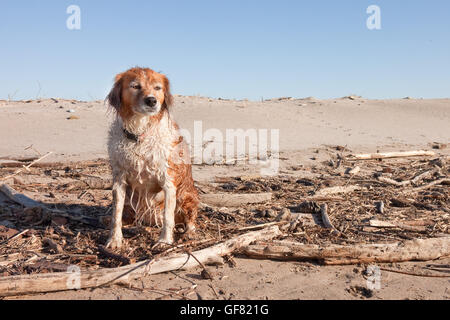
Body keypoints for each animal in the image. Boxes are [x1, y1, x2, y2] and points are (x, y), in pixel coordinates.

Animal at [105, 67, 199, 250]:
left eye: (157, 88)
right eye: (135, 86)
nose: (151, 100)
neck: (139, 134)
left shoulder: (168, 182)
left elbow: (168, 217)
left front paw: (164, 241)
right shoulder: (119, 180)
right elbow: (115, 214)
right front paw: (115, 239)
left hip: (186, 196)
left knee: (189, 219)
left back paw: (189, 233)